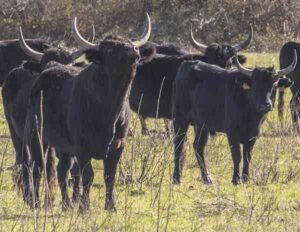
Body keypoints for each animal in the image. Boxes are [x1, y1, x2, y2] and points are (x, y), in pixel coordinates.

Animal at [2, 28, 86, 209]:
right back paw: (29, 197)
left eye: (68, 65)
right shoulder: (37, 138)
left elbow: (67, 169)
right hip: (17, 135)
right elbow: (43, 166)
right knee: (26, 162)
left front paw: (62, 199)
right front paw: (39, 201)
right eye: (44, 67)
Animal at [22, 13, 155, 212]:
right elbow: (88, 176)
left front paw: (111, 206)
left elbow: (109, 176)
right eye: (109, 49)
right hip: (37, 137)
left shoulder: (118, 146)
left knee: (62, 171)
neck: (108, 110)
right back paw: (36, 202)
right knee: (38, 167)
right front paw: (84, 207)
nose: (133, 52)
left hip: (64, 148)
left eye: (130, 43)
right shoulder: (81, 148)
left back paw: (67, 204)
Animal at [171, 52, 296, 185]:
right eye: (255, 85)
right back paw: (176, 178)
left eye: (274, 85)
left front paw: (246, 179)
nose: (265, 105)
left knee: (198, 147)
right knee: (179, 145)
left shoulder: (253, 135)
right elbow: (237, 156)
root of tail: (186, 64)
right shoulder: (232, 133)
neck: (249, 113)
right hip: (180, 120)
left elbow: (247, 156)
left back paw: (207, 179)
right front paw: (236, 179)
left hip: (202, 126)